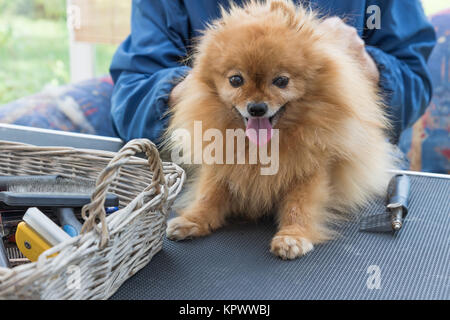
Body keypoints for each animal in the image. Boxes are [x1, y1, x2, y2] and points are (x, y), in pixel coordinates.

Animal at [164, 0, 394, 258]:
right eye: (235, 80)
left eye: (281, 81)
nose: (257, 107)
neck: (262, 147)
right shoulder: (222, 165)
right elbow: (209, 194)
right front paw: (192, 220)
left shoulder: (310, 171)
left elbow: (299, 205)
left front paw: (293, 236)